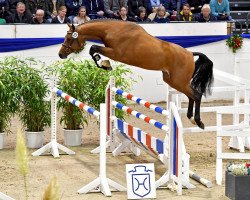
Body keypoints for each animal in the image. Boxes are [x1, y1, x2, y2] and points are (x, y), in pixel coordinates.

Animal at [58, 20, 213, 130]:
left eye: (69, 38)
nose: (60, 54)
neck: (113, 30)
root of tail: (190, 53)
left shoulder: (116, 53)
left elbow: (93, 48)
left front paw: (105, 64)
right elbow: (93, 50)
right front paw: (105, 64)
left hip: (178, 81)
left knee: (196, 95)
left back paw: (198, 121)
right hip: (173, 81)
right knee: (191, 95)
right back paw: (190, 118)